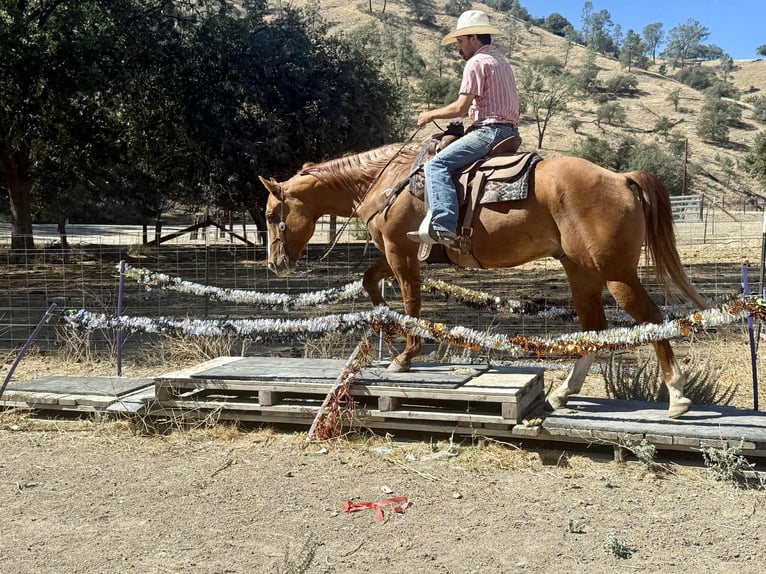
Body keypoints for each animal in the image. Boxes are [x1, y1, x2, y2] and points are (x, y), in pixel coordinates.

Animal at [258, 142, 706, 418]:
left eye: (269, 214)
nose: (276, 264)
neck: (386, 182)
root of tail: (621, 177)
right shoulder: (394, 253)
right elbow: (372, 284)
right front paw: (386, 326)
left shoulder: (401, 252)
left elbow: (412, 302)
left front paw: (405, 355)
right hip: (580, 271)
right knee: (594, 329)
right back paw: (562, 392)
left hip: (616, 274)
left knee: (651, 320)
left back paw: (678, 395)